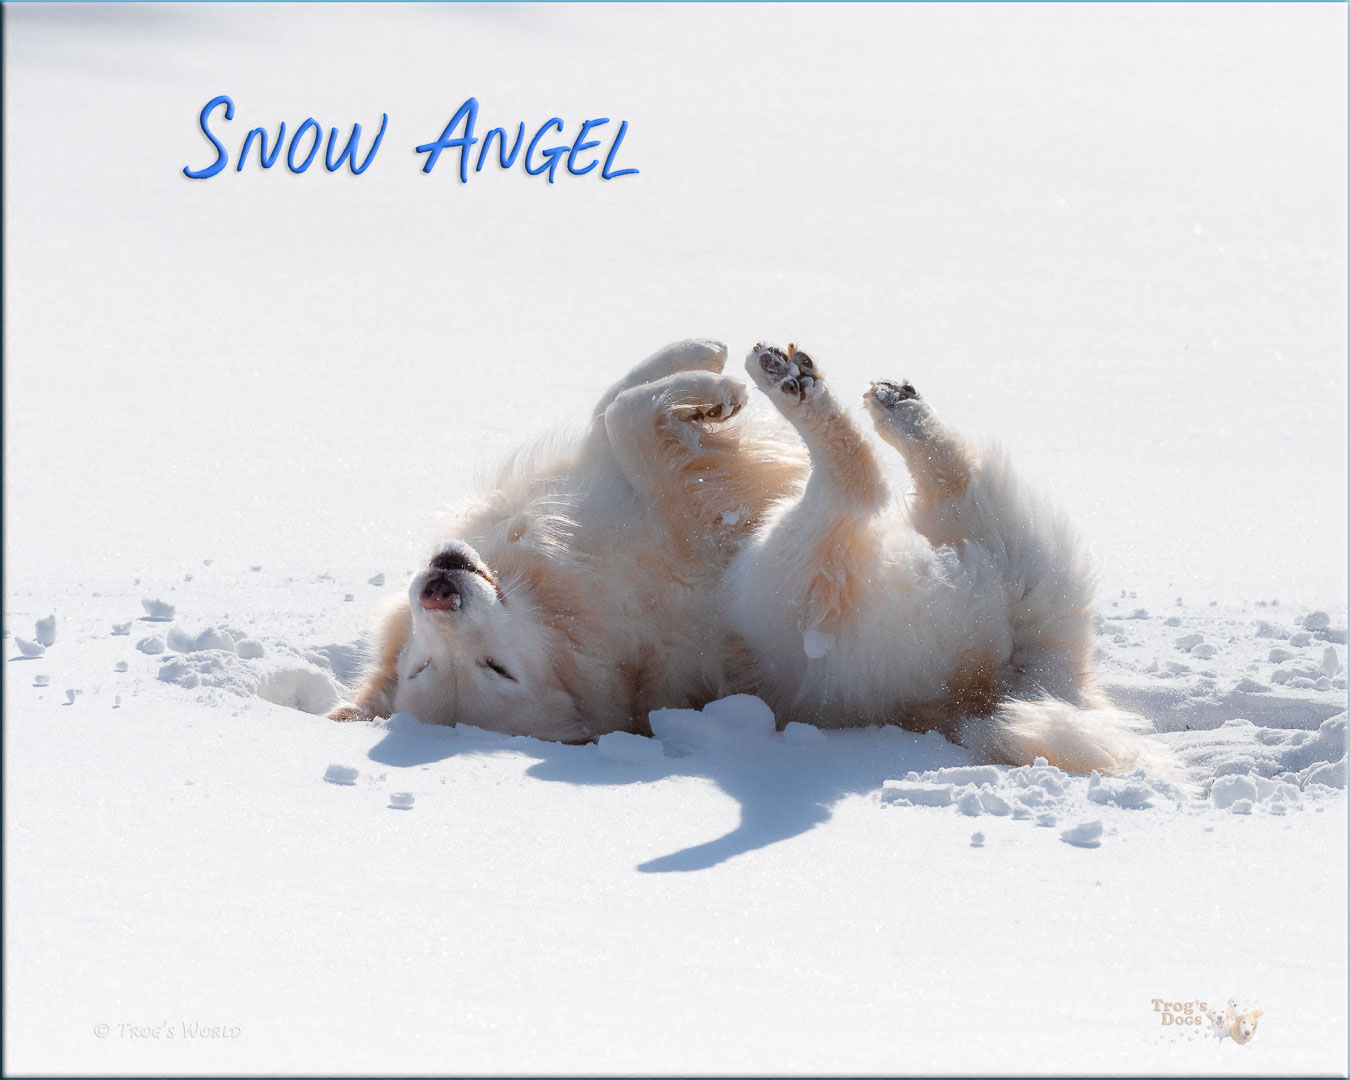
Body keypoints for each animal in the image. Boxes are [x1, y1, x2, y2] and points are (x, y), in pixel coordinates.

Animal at [329, 340, 1171, 777]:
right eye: (438, 672)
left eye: (492, 669)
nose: (439, 592)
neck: (555, 604)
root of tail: (999, 683)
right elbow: (631, 421)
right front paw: (713, 391)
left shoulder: (596, 481)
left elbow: (619, 403)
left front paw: (697, 372)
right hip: (779, 584)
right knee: (859, 491)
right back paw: (806, 394)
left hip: (1016, 558)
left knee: (960, 492)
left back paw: (891, 406)